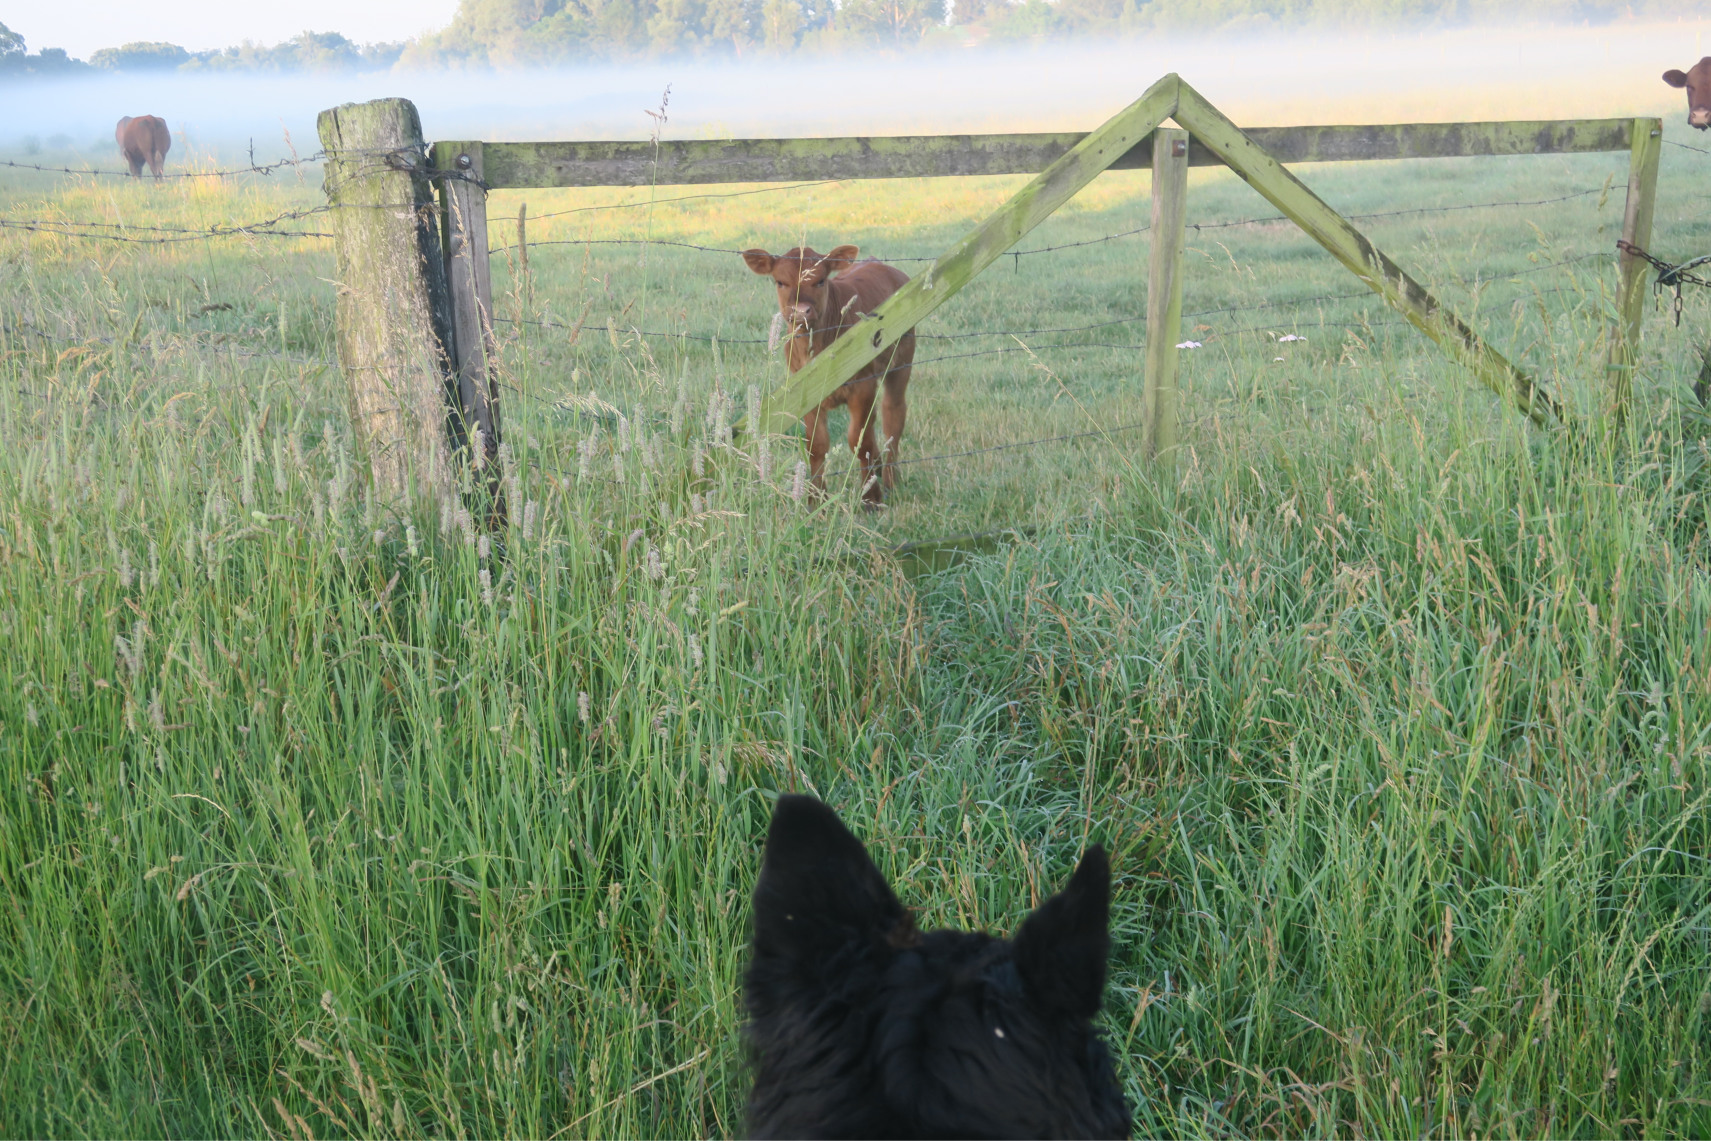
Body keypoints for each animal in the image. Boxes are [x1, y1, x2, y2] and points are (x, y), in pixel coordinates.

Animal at [742, 244, 915, 508]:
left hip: (900, 366)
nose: (801, 311)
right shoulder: (806, 394)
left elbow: (859, 440)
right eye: (780, 282)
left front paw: (871, 498)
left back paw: (889, 480)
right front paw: (816, 500)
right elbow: (817, 445)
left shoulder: (863, 387)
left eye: (820, 280)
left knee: (892, 418)